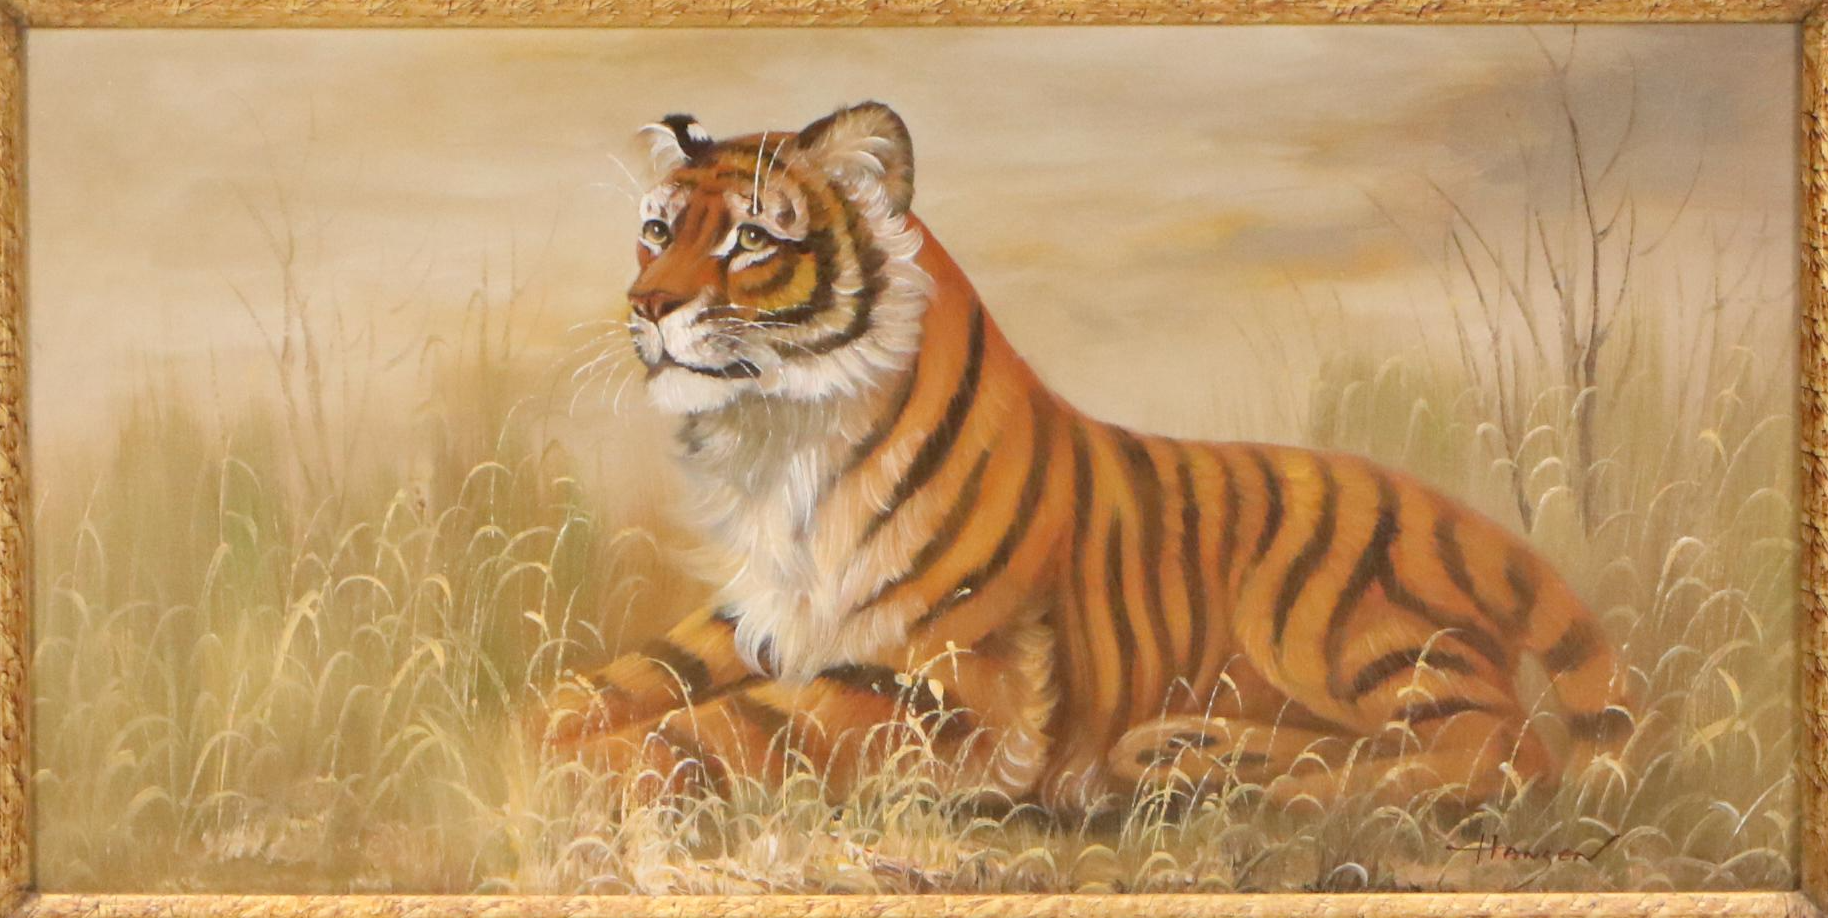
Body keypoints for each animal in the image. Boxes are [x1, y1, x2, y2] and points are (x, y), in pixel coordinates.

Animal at [534, 101, 1635, 811]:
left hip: (1323, 617)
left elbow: (711, 728)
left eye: (752, 240)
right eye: (656, 230)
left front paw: (571, 779)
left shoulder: (943, 681)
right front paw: (530, 737)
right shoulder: (754, 612)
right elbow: (602, 691)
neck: (774, 440)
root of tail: (1472, 523)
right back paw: (1192, 751)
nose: (645, 305)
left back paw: (1223, 774)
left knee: (1499, 748)